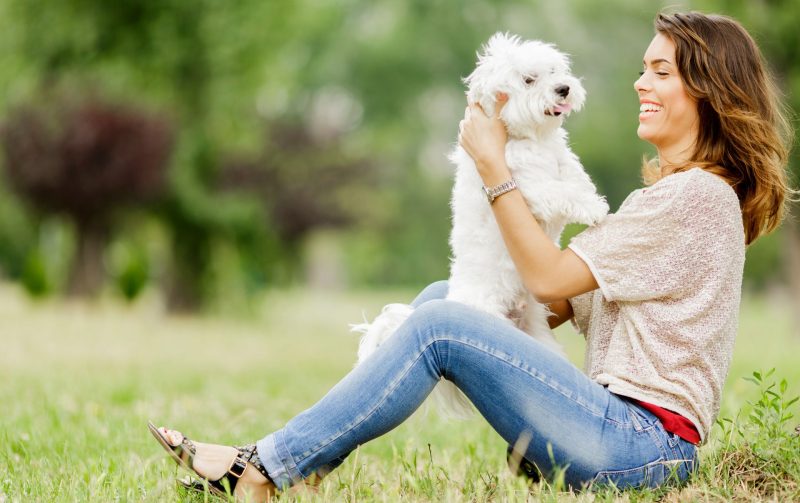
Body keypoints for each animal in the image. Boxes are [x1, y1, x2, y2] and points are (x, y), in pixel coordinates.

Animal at [350, 32, 608, 418]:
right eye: (529, 80)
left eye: (555, 72)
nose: (563, 88)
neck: (531, 139)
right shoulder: (529, 188)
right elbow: (560, 190)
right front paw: (593, 208)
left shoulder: (561, 159)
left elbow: (573, 172)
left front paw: (593, 195)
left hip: (539, 336)